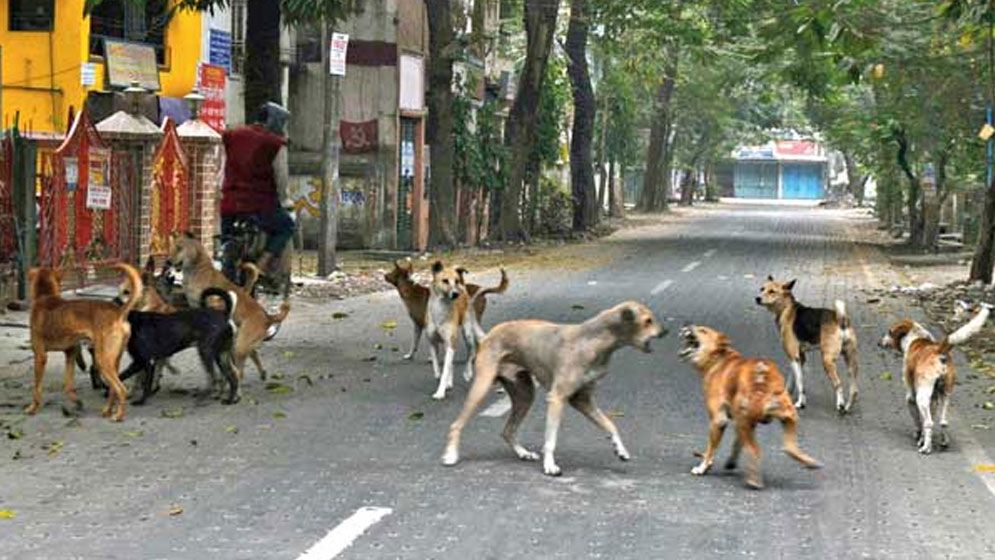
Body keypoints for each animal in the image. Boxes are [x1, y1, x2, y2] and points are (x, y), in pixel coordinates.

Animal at [168, 232, 290, 380]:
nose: (168, 261)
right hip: (242, 343)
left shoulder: (216, 304)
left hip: (239, 346)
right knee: (253, 354)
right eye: (171, 247)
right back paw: (262, 373)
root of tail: (268, 317)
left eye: (179, 248)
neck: (197, 269)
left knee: (239, 371)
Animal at [446, 302, 668, 476]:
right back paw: (450, 455)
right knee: (456, 424)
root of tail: (487, 336)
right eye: (648, 320)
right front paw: (550, 466)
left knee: (507, 431)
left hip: (525, 395)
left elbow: (610, 425)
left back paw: (523, 453)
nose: (666, 331)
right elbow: (550, 440)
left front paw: (620, 450)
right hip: (481, 388)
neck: (594, 340)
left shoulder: (583, 400)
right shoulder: (557, 398)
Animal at [676, 326, 824, 488]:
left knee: (755, 450)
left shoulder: (719, 420)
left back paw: (754, 482)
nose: (686, 327)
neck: (719, 360)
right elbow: (736, 444)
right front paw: (730, 462)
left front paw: (703, 467)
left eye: (703, 330)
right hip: (787, 416)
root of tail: (763, 376)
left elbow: (711, 450)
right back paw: (810, 462)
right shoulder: (746, 424)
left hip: (744, 420)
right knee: (789, 448)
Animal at [756, 276, 856, 412]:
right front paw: (786, 395)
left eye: (772, 291)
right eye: (762, 289)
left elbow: (800, 383)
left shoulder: (795, 357)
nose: (757, 298)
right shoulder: (798, 358)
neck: (786, 308)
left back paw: (840, 405)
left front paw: (800, 403)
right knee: (854, 390)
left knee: (838, 384)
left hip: (827, 360)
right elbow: (791, 381)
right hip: (850, 360)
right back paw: (847, 407)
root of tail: (842, 320)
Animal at [876, 300, 992, 452]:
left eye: (889, 332)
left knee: (929, 422)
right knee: (943, 422)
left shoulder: (911, 398)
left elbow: (919, 423)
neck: (917, 338)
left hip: (921, 397)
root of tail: (939, 350)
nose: (879, 343)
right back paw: (943, 442)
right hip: (945, 395)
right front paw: (923, 438)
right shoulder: (934, 399)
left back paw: (926, 448)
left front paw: (919, 437)